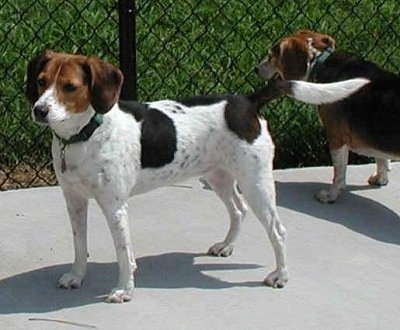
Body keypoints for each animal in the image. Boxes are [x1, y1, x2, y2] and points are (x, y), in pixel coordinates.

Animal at [25, 51, 368, 302]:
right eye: (41, 82)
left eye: (70, 87)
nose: (39, 110)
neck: (84, 135)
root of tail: (246, 102)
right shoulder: (74, 201)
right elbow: (79, 244)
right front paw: (76, 276)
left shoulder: (115, 207)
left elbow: (124, 254)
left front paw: (124, 290)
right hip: (219, 177)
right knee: (238, 210)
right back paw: (226, 247)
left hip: (256, 183)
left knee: (278, 230)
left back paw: (280, 276)